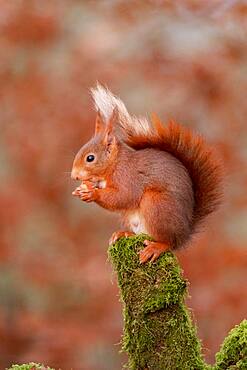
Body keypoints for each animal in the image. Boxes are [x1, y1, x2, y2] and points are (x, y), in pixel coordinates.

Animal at [70, 84, 223, 264]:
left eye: (90, 158)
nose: (74, 176)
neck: (114, 165)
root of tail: (184, 234)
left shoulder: (128, 177)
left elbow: (124, 196)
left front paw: (92, 193)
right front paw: (81, 190)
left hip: (156, 204)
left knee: (167, 242)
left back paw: (156, 248)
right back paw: (124, 233)